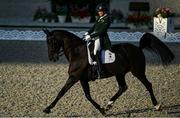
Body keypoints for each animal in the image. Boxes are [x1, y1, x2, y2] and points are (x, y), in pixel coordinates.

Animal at [42, 29, 174, 115]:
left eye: (51, 41)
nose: (51, 58)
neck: (76, 52)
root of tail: (138, 48)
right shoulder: (82, 79)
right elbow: (88, 96)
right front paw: (102, 110)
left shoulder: (74, 77)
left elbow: (61, 92)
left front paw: (48, 108)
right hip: (120, 73)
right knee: (123, 87)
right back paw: (109, 104)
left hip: (138, 72)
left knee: (148, 85)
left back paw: (157, 105)